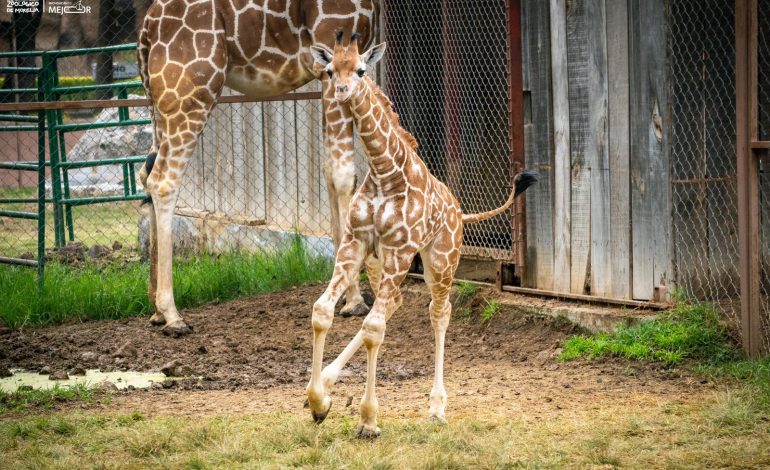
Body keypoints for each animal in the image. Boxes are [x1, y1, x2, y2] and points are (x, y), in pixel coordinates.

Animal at [136, 0, 379, 336]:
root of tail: (147, 29)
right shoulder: (334, 48)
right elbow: (344, 174)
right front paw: (354, 300)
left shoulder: (327, 71)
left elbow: (330, 171)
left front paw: (342, 293)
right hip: (192, 92)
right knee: (163, 180)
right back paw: (173, 315)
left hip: (159, 100)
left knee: (146, 173)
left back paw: (156, 311)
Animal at [304, 33, 539, 438]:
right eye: (331, 70)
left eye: (361, 70)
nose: (342, 93)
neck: (385, 171)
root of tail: (460, 212)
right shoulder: (355, 242)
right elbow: (324, 311)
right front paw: (319, 402)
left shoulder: (400, 249)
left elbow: (374, 327)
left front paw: (369, 420)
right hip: (385, 260)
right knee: (396, 304)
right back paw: (330, 381)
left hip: (441, 261)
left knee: (438, 313)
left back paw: (437, 408)